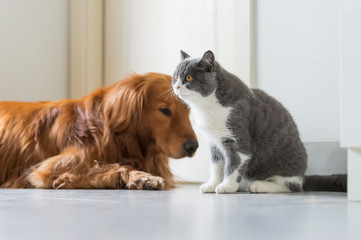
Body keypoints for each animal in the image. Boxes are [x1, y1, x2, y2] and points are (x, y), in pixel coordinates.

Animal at [0, 72, 197, 189]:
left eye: (188, 109)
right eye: (165, 110)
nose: (193, 146)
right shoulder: (50, 167)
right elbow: (108, 165)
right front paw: (142, 177)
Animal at [172, 50, 346, 193]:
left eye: (188, 78)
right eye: (175, 77)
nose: (177, 87)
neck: (205, 107)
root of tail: (303, 175)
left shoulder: (237, 138)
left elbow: (233, 164)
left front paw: (227, 186)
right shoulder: (214, 142)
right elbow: (216, 166)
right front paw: (212, 184)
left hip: (287, 162)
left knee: (292, 186)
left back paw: (260, 185)